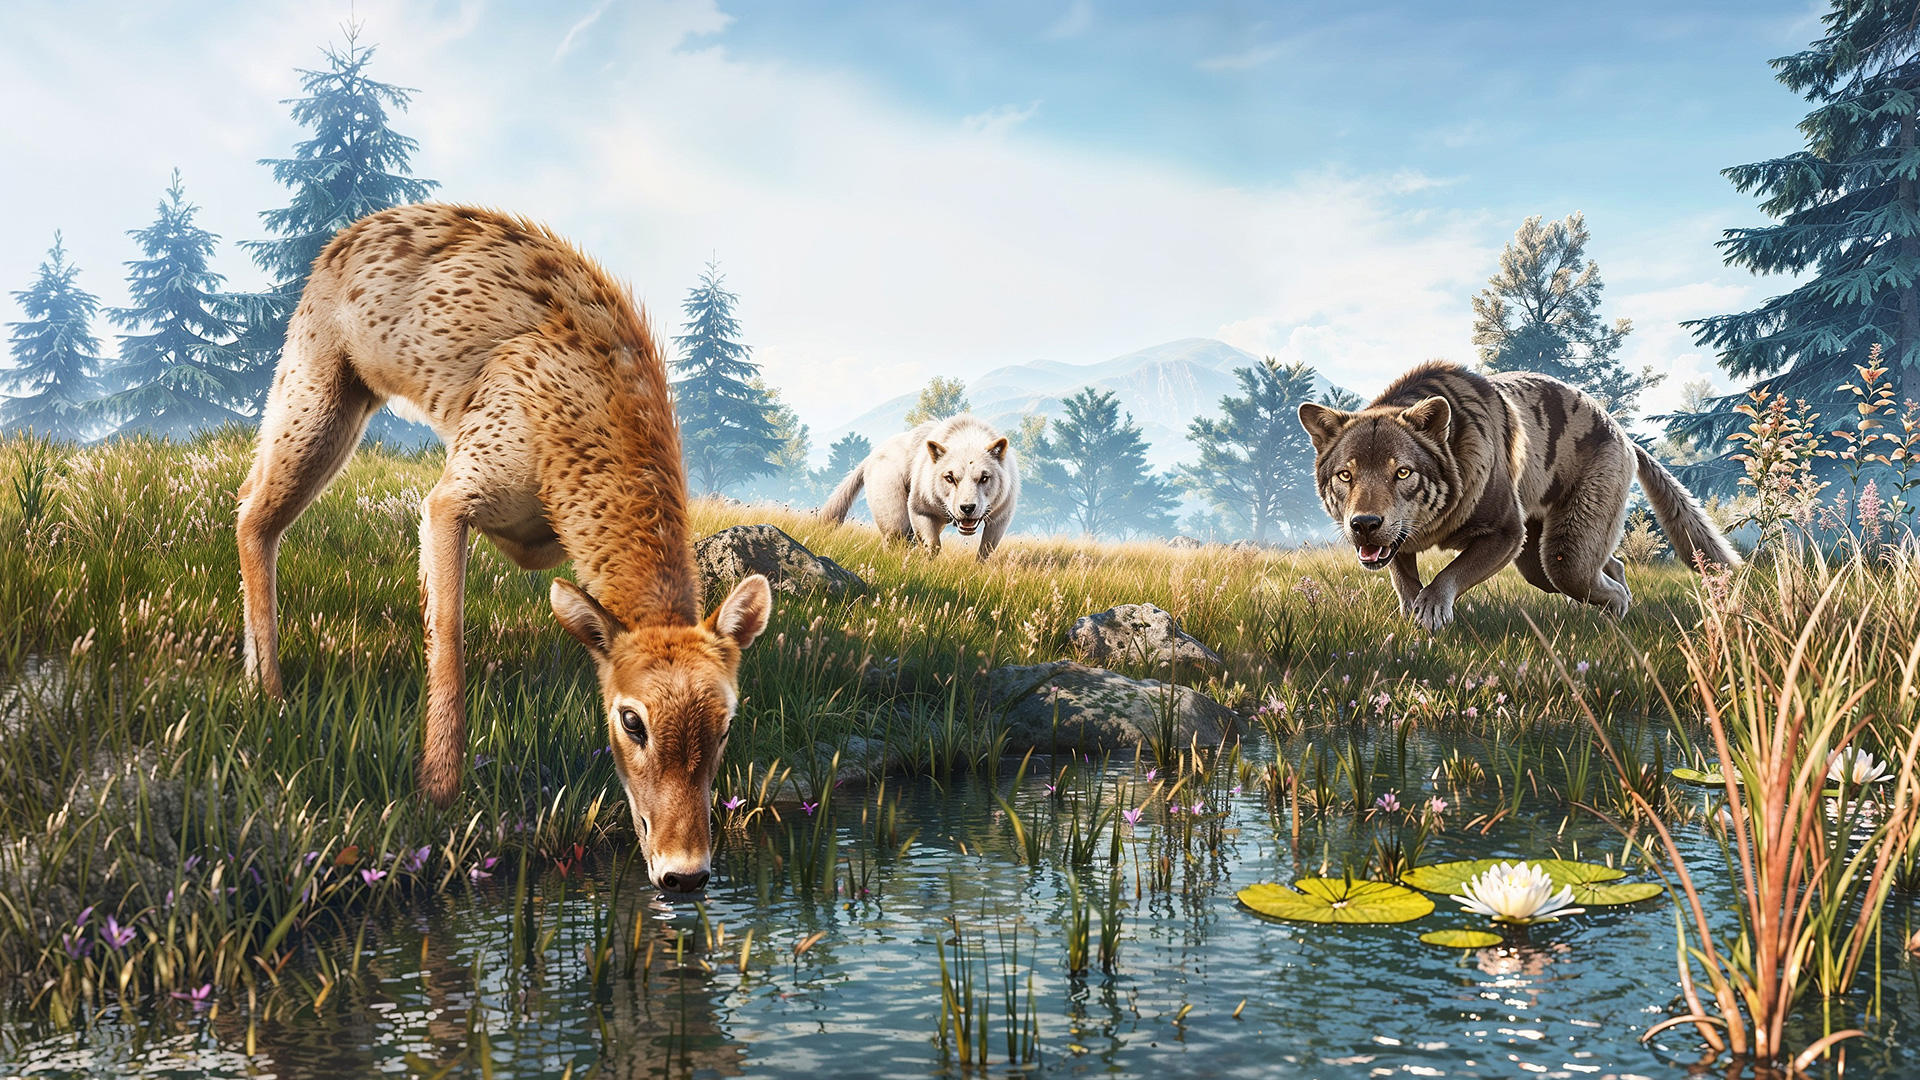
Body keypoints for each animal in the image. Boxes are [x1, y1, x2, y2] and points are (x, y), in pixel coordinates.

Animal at [237, 204, 772, 893]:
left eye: (728, 722)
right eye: (631, 720)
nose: (685, 871)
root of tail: (347, 236)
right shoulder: (452, 496)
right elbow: (447, 631)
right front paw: (438, 794)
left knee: (250, 500)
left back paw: (255, 683)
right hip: (319, 390)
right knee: (254, 512)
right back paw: (272, 697)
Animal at [819, 413, 1018, 560]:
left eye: (984, 478)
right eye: (950, 478)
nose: (967, 508)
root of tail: (871, 455)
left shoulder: (1000, 516)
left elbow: (985, 551)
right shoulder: (920, 509)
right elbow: (932, 545)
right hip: (895, 515)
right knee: (895, 540)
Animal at [1297, 361, 1737, 631]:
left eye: (1402, 472)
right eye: (1346, 475)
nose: (1364, 524)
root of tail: (1625, 435)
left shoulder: (1506, 533)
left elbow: (1450, 573)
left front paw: (1432, 609)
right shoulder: (1399, 544)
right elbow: (1405, 581)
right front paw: (1413, 614)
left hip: (1560, 557)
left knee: (1603, 582)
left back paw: (1615, 618)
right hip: (1538, 562)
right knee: (1615, 564)